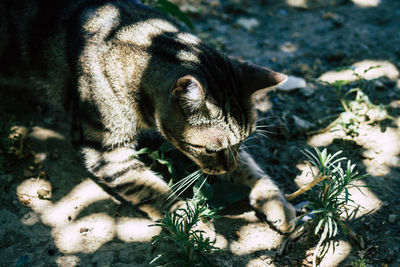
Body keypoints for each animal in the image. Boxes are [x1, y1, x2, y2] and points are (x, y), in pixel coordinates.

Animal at [1, 0, 296, 233]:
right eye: (210, 150)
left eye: (243, 140)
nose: (227, 169)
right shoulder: (105, 151)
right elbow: (151, 188)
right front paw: (189, 221)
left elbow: (252, 168)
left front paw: (276, 201)